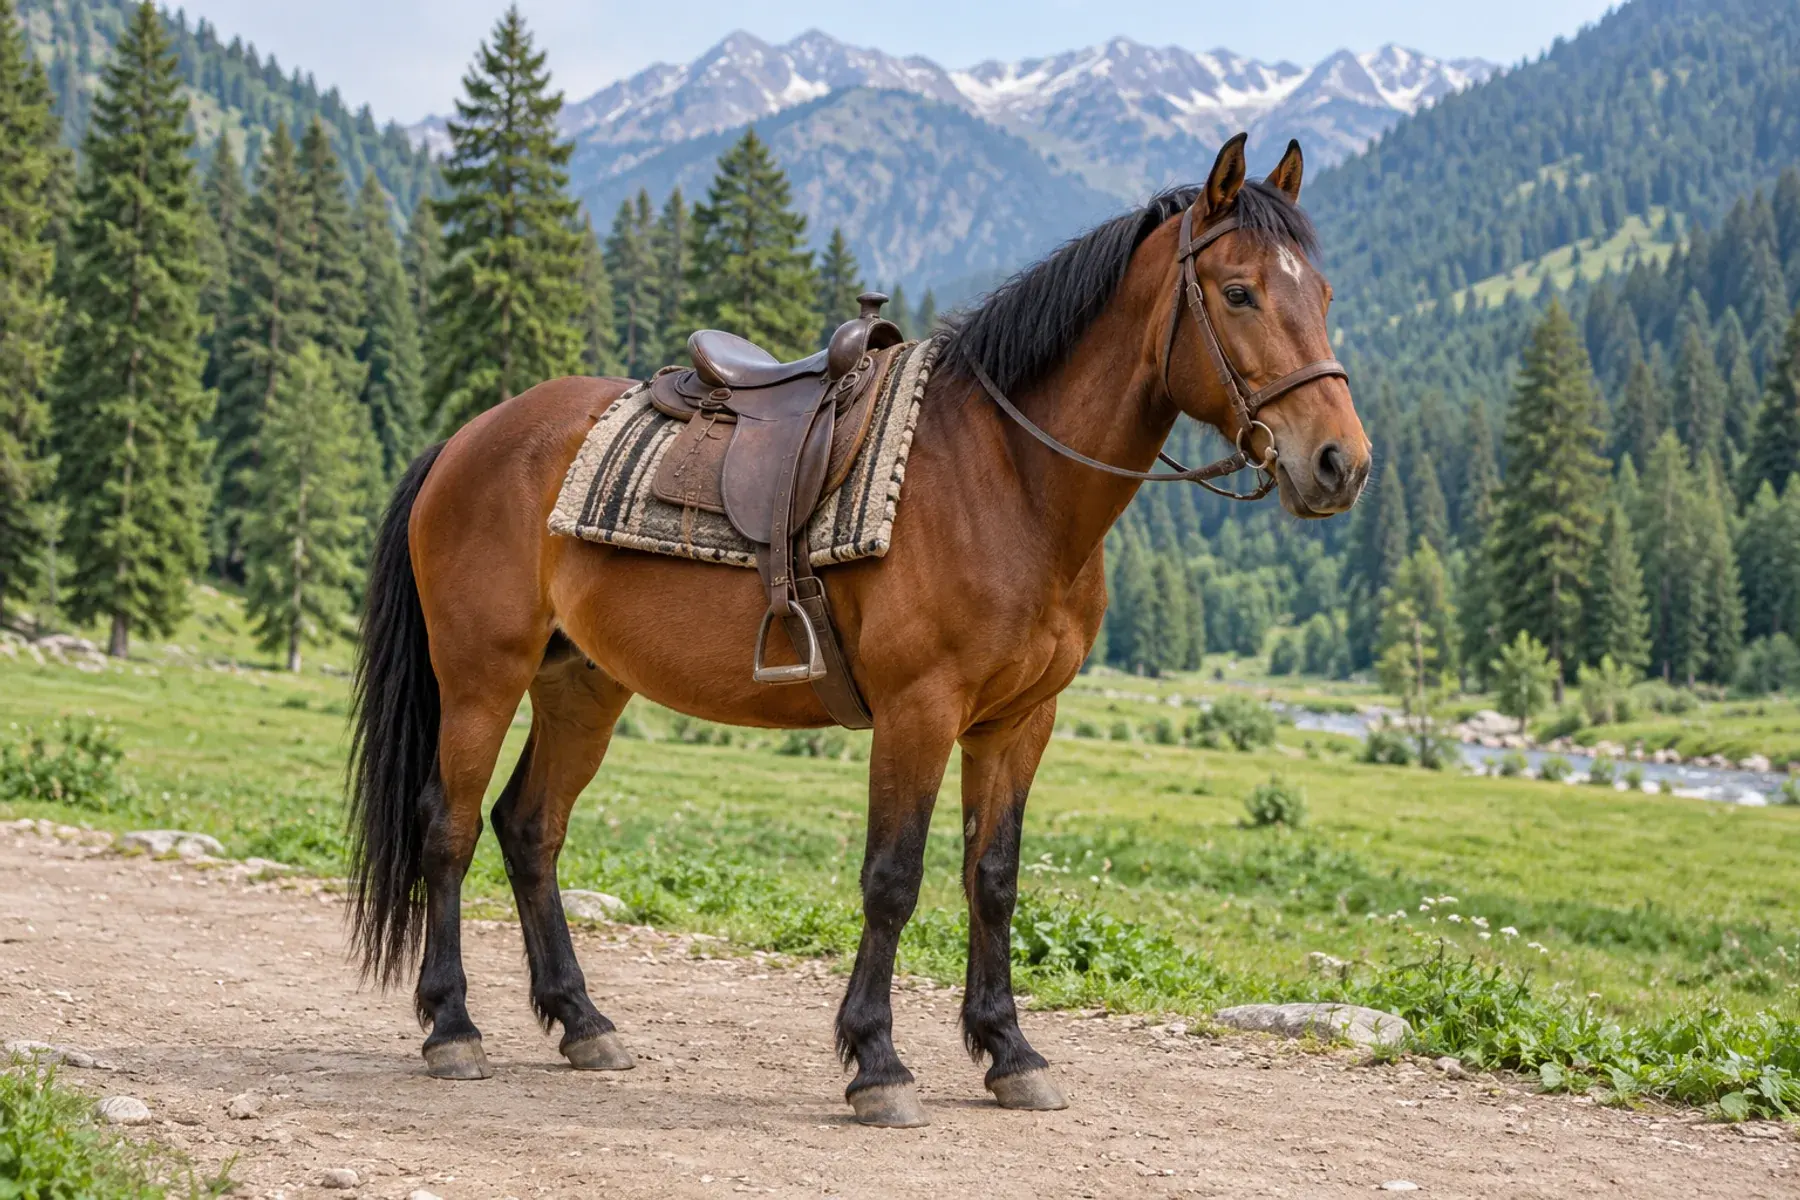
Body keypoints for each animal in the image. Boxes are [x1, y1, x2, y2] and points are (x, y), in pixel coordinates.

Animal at [346, 133, 1371, 1128]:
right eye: (1238, 292)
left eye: (1323, 294)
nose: (1340, 463)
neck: (1010, 479)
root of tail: (468, 437)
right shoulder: (920, 710)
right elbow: (893, 878)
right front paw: (878, 1063)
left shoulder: (1017, 723)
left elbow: (993, 878)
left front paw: (1010, 1052)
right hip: (481, 676)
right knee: (448, 828)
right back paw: (452, 1028)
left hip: (582, 685)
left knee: (530, 829)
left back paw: (583, 1021)